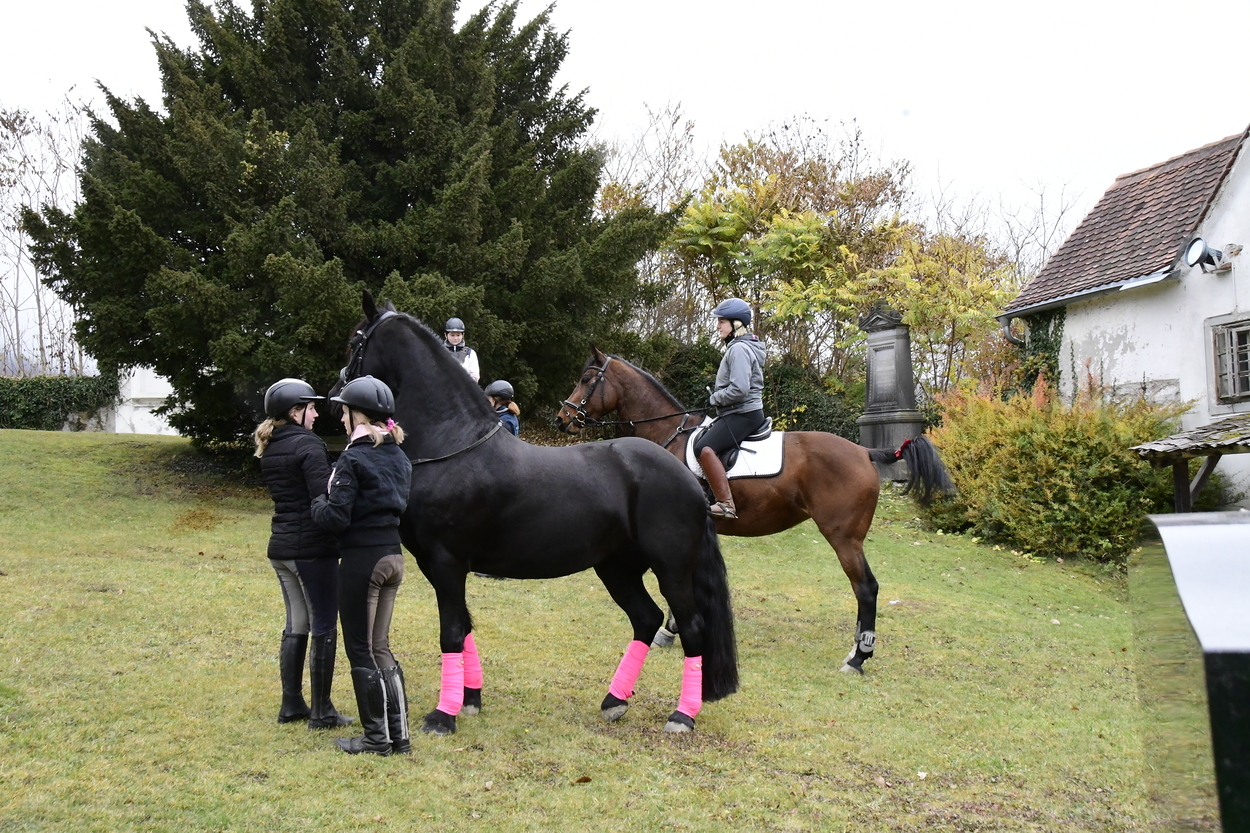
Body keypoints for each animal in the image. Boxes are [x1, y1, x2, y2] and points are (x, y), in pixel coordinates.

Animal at [328, 294, 738, 735]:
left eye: (354, 341)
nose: (334, 398)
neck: (454, 444)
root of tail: (687, 476)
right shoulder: (434, 564)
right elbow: (465, 625)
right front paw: (469, 700)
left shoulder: (446, 561)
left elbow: (451, 632)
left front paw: (443, 716)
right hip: (617, 568)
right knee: (646, 619)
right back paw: (614, 701)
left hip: (672, 569)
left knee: (691, 628)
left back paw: (682, 715)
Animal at [555, 346, 954, 673]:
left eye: (586, 379)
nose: (561, 419)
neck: (668, 435)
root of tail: (865, 452)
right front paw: (672, 630)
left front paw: (670, 631)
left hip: (844, 538)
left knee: (866, 588)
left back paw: (858, 658)